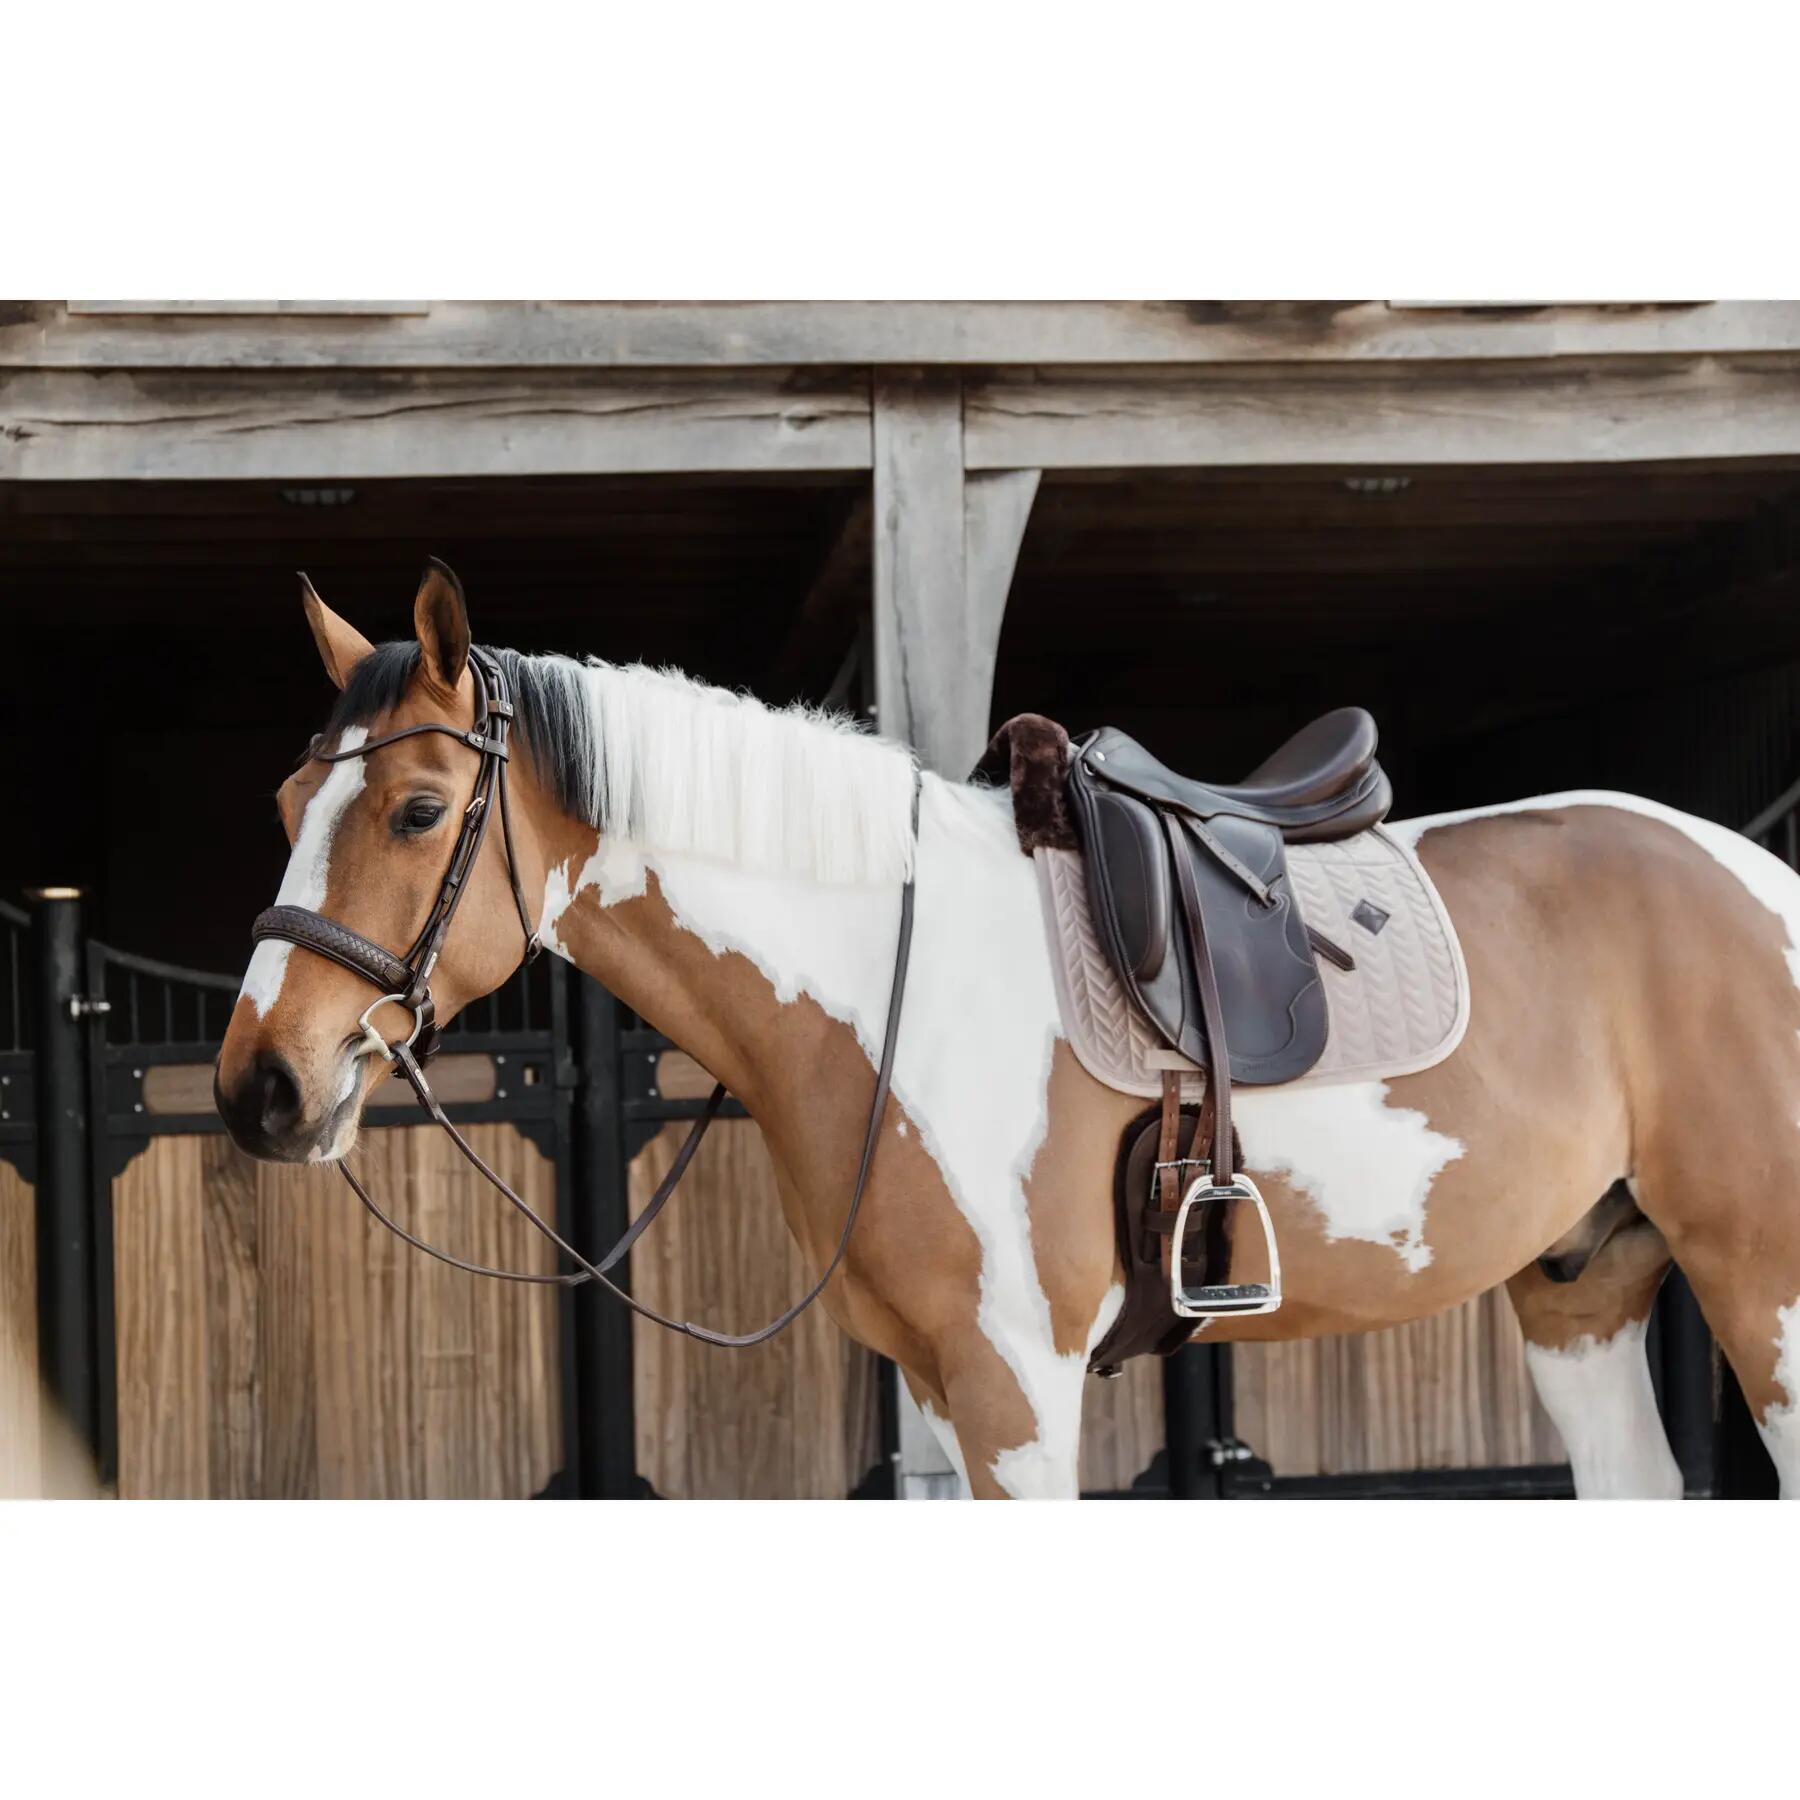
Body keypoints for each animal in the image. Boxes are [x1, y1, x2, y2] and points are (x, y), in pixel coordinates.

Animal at [215, 563, 1800, 1499]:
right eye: (289, 806)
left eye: (420, 812)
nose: (260, 1088)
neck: (886, 981)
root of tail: (1758, 874)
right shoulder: (929, 1388)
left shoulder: (1016, 1386)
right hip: (1581, 1287)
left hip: (1758, 1285)